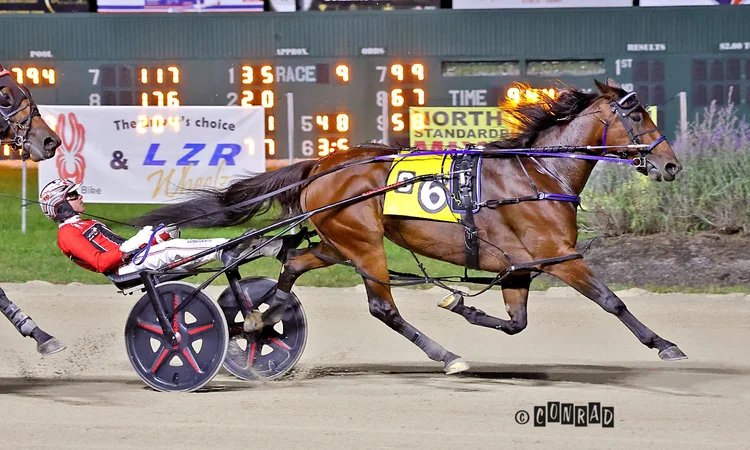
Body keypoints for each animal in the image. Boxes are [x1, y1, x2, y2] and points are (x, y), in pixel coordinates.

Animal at [135, 78, 686, 374]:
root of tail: (322, 164)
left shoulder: (521, 267)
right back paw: (446, 355)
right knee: (381, 307)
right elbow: (612, 301)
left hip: (336, 243)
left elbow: (516, 322)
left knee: (290, 262)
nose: (671, 165)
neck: (536, 174)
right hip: (364, 244)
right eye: (638, 115)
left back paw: (257, 319)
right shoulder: (561, 258)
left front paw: (462, 304)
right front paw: (665, 345)